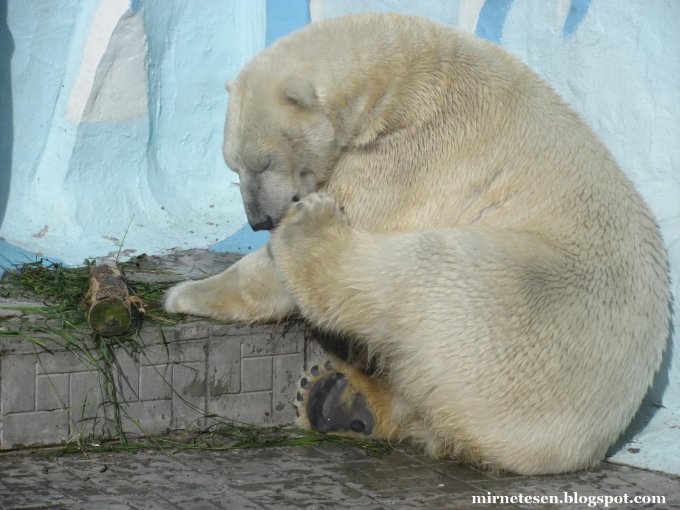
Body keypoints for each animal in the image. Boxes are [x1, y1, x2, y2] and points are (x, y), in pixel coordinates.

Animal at [166, 12, 668, 474]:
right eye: (233, 167)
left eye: (262, 162)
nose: (259, 220)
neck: (403, 78)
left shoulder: (411, 151)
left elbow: (315, 244)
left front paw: (184, 293)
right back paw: (338, 400)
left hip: (519, 306)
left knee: (412, 273)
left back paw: (312, 232)